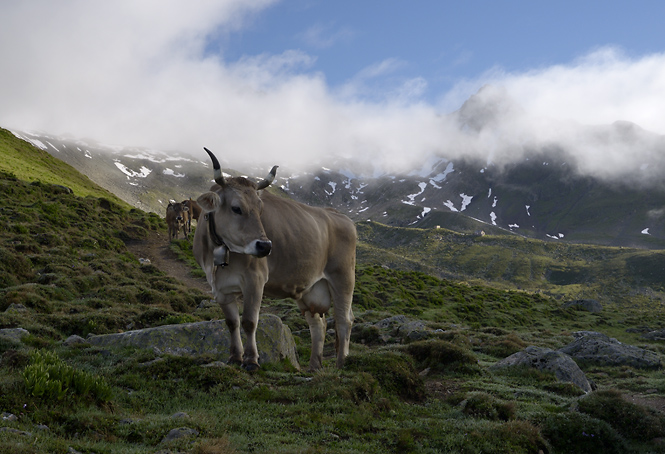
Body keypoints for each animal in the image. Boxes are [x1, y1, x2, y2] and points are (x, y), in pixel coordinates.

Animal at [193, 147, 358, 370]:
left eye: (260, 209)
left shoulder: (255, 279)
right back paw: (314, 366)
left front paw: (251, 360)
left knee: (344, 320)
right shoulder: (221, 288)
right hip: (311, 289)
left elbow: (249, 321)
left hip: (343, 278)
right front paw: (235, 357)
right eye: (236, 208)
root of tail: (341, 217)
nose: (265, 246)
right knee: (318, 324)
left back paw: (341, 363)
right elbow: (232, 323)